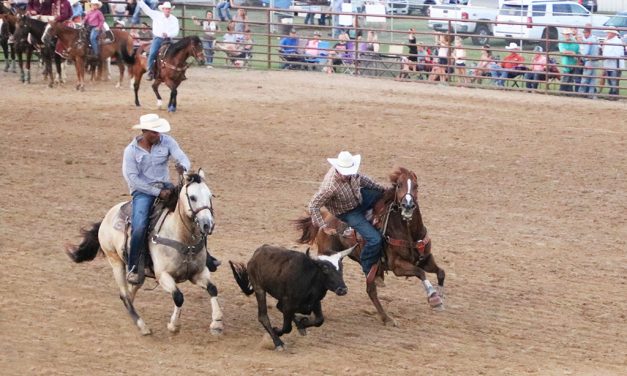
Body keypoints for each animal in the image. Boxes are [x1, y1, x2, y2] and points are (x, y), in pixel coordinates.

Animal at [65, 170, 223, 334]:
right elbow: (178, 296)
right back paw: (142, 325)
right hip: (115, 261)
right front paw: (173, 325)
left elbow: (212, 288)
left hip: (139, 272)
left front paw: (216, 322)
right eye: (192, 197)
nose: (208, 224)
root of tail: (106, 218)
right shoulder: (163, 275)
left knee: (130, 291)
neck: (183, 239)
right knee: (124, 294)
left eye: (210, 195)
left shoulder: (198, 272)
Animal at [296, 167, 446, 326]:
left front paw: (441, 296)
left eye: (416, 186)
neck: (409, 232)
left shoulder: (425, 258)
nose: (408, 205)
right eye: (399, 185)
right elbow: (420, 272)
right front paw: (434, 298)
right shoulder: (398, 266)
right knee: (370, 290)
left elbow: (440, 272)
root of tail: (324, 220)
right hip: (329, 256)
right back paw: (387, 318)